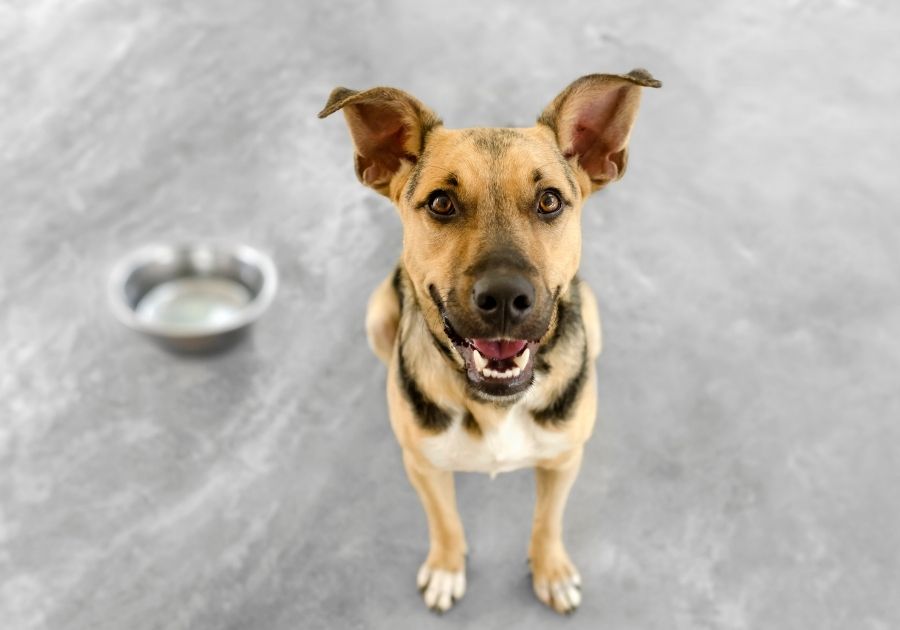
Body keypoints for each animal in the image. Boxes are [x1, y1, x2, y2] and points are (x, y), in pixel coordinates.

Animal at [320, 70, 656, 616]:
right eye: (441, 202)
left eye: (549, 201)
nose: (503, 298)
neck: (496, 404)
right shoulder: (424, 467)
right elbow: (445, 520)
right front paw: (446, 567)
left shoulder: (564, 460)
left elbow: (548, 520)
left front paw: (551, 570)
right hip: (376, 317)